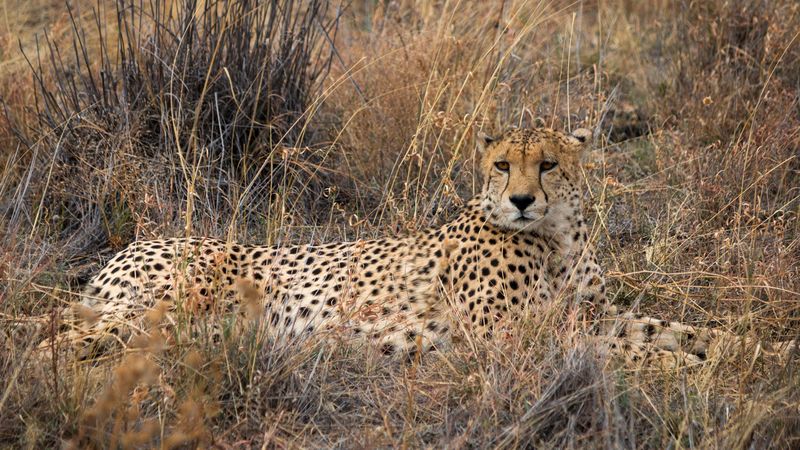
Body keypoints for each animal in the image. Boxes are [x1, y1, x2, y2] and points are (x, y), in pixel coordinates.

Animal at [39, 126, 795, 367]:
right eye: (502, 165)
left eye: (548, 165)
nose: (522, 199)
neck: (553, 237)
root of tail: (131, 244)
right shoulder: (511, 337)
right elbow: (621, 350)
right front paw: (681, 369)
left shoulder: (590, 313)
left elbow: (667, 327)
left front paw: (754, 350)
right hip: (161, 309)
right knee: (51, 337)